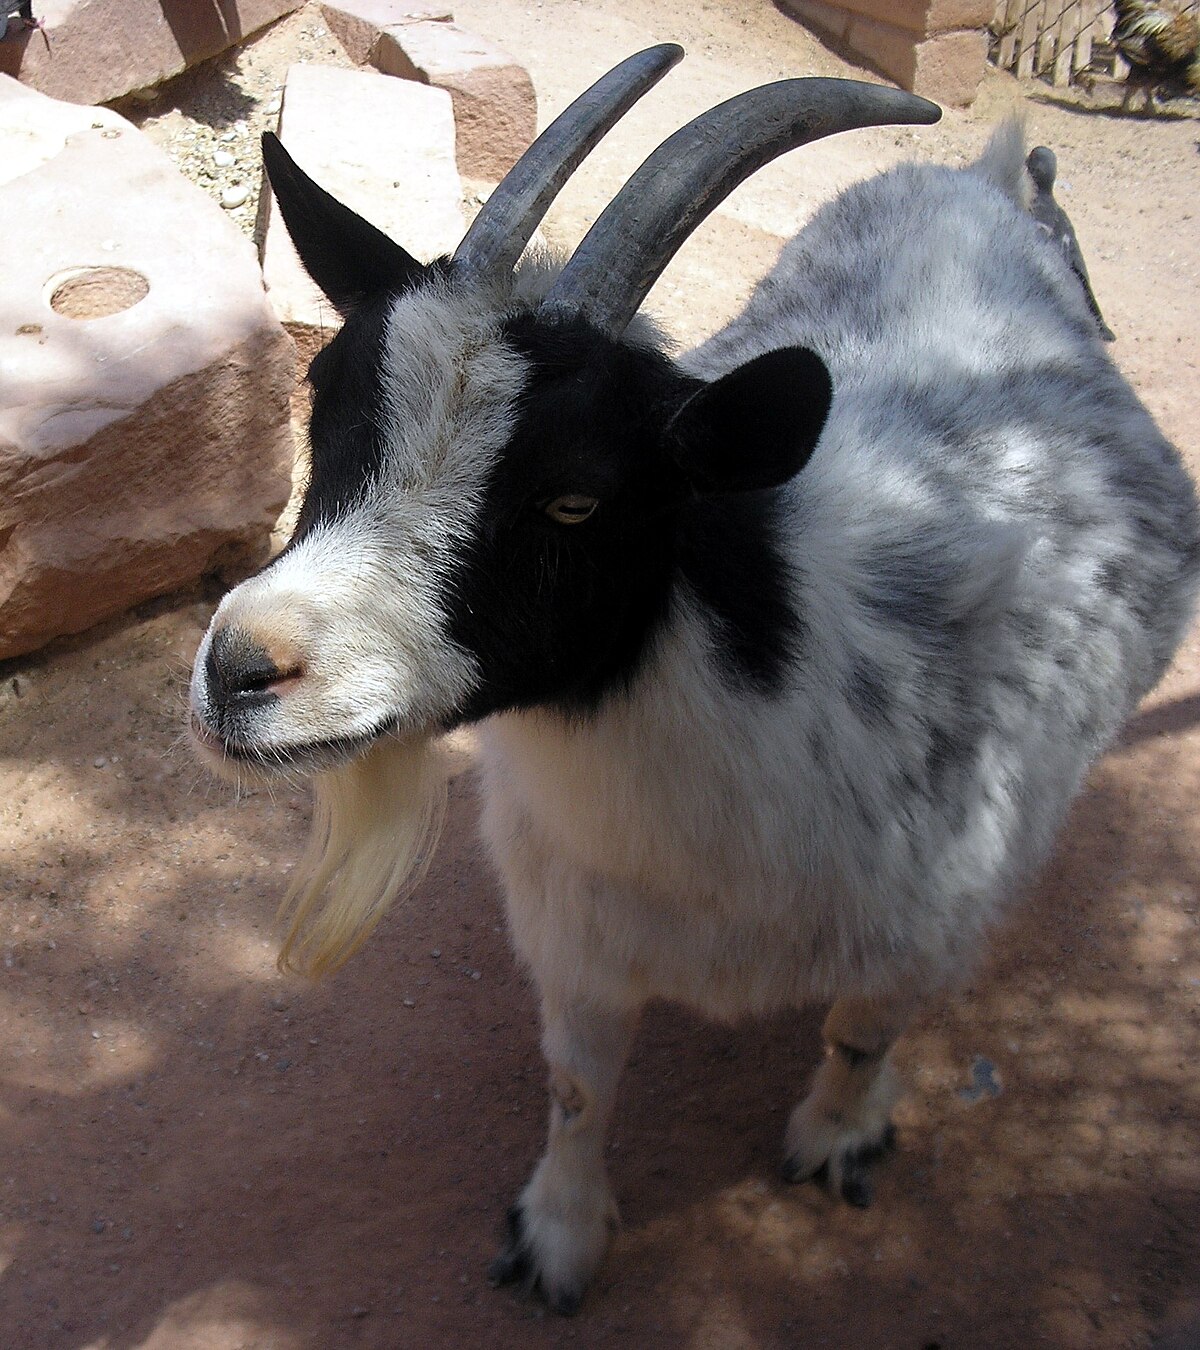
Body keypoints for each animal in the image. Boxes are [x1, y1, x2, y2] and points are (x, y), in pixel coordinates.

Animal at [187, 47, 1198, 1312]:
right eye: (327, 411)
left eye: (577, 498)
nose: (241, 670)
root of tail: (980, 181)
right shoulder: (576, 932)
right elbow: (579, 1087)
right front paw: (558, 1239)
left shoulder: (927, 926)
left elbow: (863, 1033)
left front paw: (839, 1139)